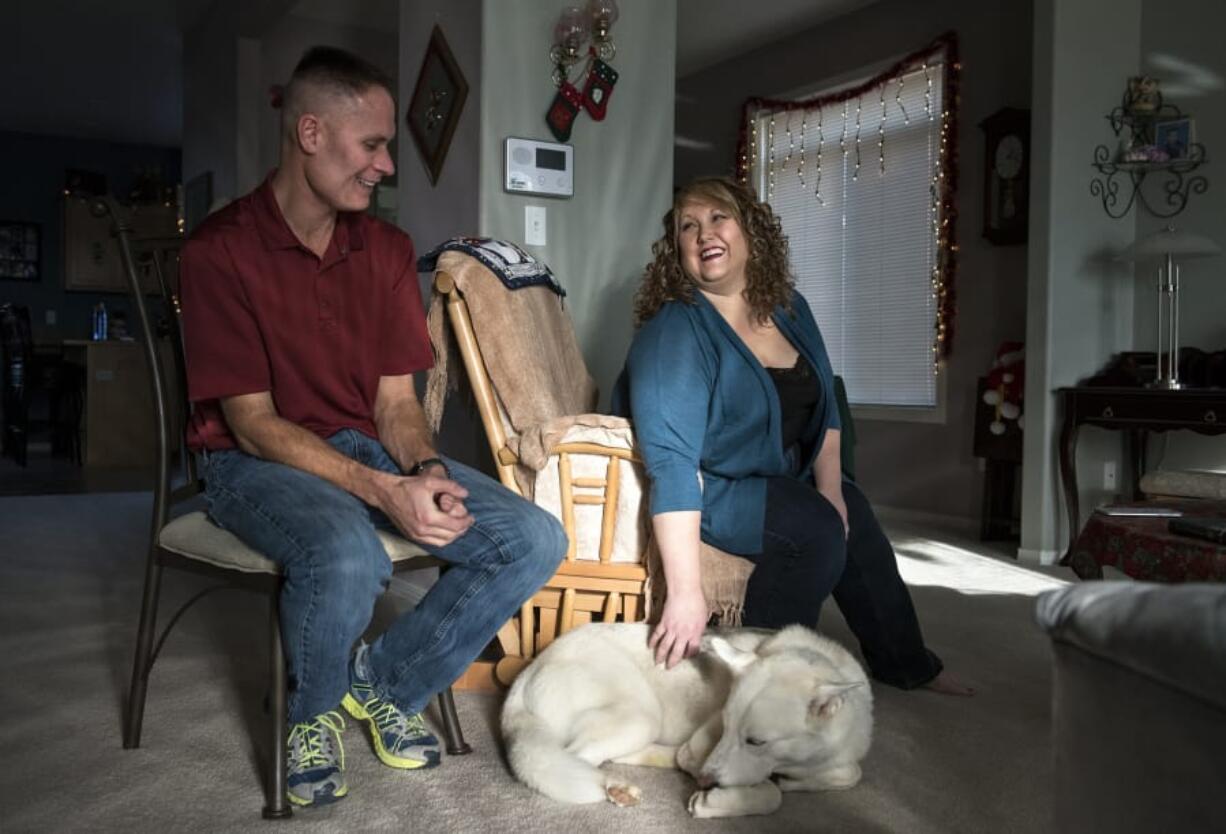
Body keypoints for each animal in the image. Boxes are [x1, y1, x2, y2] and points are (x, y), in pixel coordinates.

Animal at [497, 623, 872, 819]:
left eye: (756, 741)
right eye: (726, 726)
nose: (703, 781)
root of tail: (525, 675)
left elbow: (851, 773)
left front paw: (796, 781)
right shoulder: (702, 744)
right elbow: (771, 793)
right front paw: (724, 800)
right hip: (641, 716)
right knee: (574, 757)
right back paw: (616, 786)